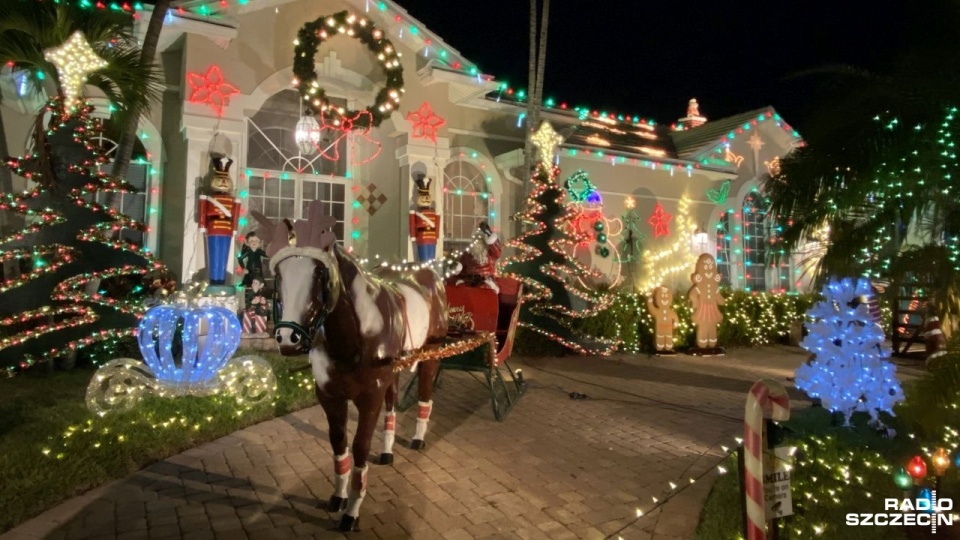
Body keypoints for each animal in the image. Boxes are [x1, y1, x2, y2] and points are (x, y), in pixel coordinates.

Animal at [255, 204, 450, 532]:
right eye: (279, 273)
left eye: (319, 272)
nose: (288, 339)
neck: (353, 336)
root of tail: (429, 275)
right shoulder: (330, 395)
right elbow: (339, 443)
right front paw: (338, 497)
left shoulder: (369, 397)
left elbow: (359, 447)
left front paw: (353, 511)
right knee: (392, 406)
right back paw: (387, 451)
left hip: (430, 357)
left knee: (425, 397)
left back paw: (418, 438)